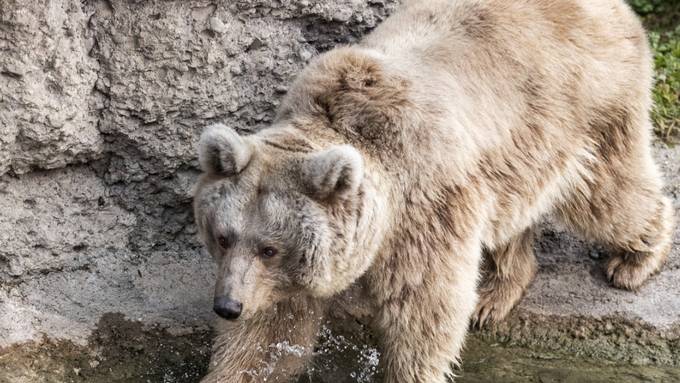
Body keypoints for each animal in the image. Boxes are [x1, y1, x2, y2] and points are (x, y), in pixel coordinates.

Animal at [193, 0, 676, 380]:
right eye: (223, 236)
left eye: (269, 248)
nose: (226, 305)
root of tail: (612, 8)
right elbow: (269, 334)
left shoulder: (423, 202)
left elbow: (424, 310)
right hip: (514, 157)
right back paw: (494, 296)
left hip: (584, 106)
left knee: (608, 195)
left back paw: (635, 260)